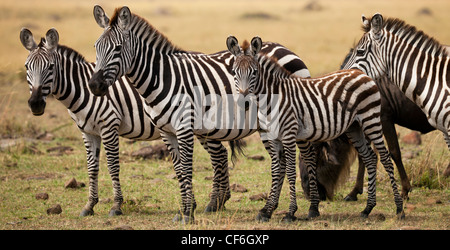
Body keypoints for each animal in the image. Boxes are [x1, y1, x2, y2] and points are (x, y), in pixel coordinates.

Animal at [19, 27, 241, 217]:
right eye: (27, 67)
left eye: (50, 67)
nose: (35, 104)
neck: (82, 87)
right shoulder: (88, 132)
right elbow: (92, 168)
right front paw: (89, 205)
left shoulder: (109, 125)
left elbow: (112, 166)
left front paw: (116, 206)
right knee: (220, 155)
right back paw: (219, 202)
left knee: (218, 156)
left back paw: (215, 202)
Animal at [86, 4, 312, 222]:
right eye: (96, 47)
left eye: (117, 48)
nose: (94, 85)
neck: (162, 78)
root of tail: (284, 47)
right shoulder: (166, 131)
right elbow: (178, 169)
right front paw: (184, 210)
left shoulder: (184, 127)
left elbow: (187, 168)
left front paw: (187, 212)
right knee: (280, 163)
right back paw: (268, 210)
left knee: (305, 155)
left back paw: (310, 208)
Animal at [227, 35, 406, 221]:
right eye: (234, 72)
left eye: (254, 72)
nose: (243, 102)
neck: (271, 99)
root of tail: (362, 73)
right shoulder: (273, 137)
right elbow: (276, 171)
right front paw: (267, 211)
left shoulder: (289, 135)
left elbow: (290, 171)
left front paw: (290, 212)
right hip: (355, 127)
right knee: (370, 158)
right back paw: (368, 208)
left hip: (371, 120)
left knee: (385, 159)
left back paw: (399, 208)